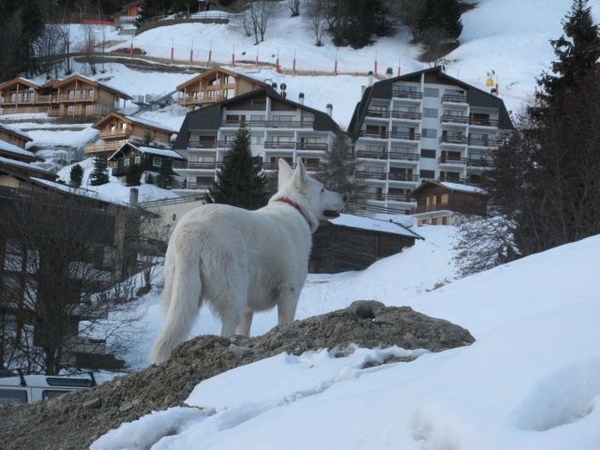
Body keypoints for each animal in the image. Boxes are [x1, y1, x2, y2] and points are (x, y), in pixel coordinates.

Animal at [151, 158, 346, 362]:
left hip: (181, 294)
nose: (345, 197)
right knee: (226, 330)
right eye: (322, 189)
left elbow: (244, 330)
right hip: (233, 297)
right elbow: (285, 322)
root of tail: (191, 232)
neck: (294, 206)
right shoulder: (289, 290)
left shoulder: (249, 308)